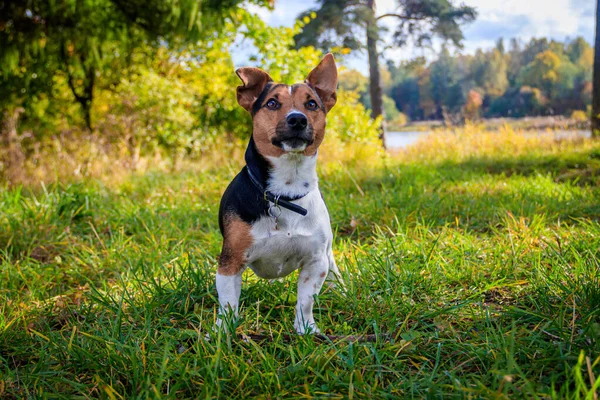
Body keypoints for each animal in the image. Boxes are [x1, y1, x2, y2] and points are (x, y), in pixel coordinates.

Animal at [216, 53, 340, 334]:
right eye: (272, 103)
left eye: (312, 103)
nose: (298, 119)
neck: (286, 192)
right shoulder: (230, 262)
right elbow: (228, 304)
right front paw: (222, 334)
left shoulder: (316, 262)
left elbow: (305, 300)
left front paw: (306, 329)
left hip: (328, 253)